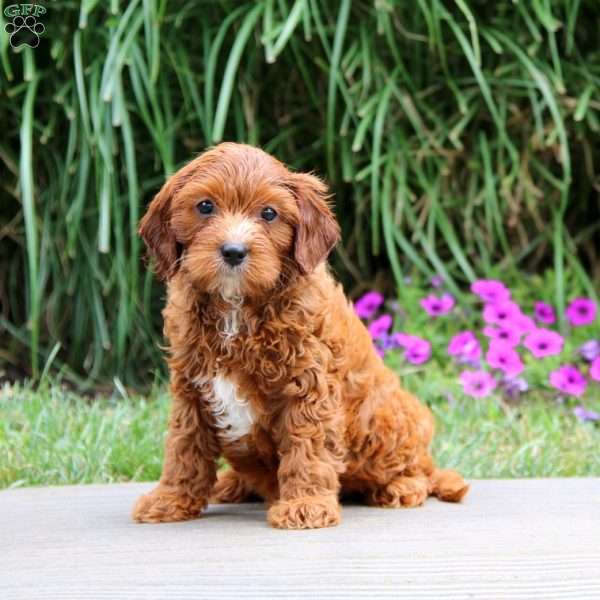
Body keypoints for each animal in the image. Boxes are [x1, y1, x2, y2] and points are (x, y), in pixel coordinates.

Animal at [134, 144, 466, 528]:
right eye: (205, 206)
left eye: (269, 213)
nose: (233, 251)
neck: (236, 306)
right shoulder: (191, 386)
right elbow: (184, 445)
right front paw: (171, 499)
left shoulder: (310, 383)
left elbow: (307, 445)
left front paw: (305, 505)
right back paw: (232, 484)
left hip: (388, 419)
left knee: (418, 469)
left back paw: (401, 487)